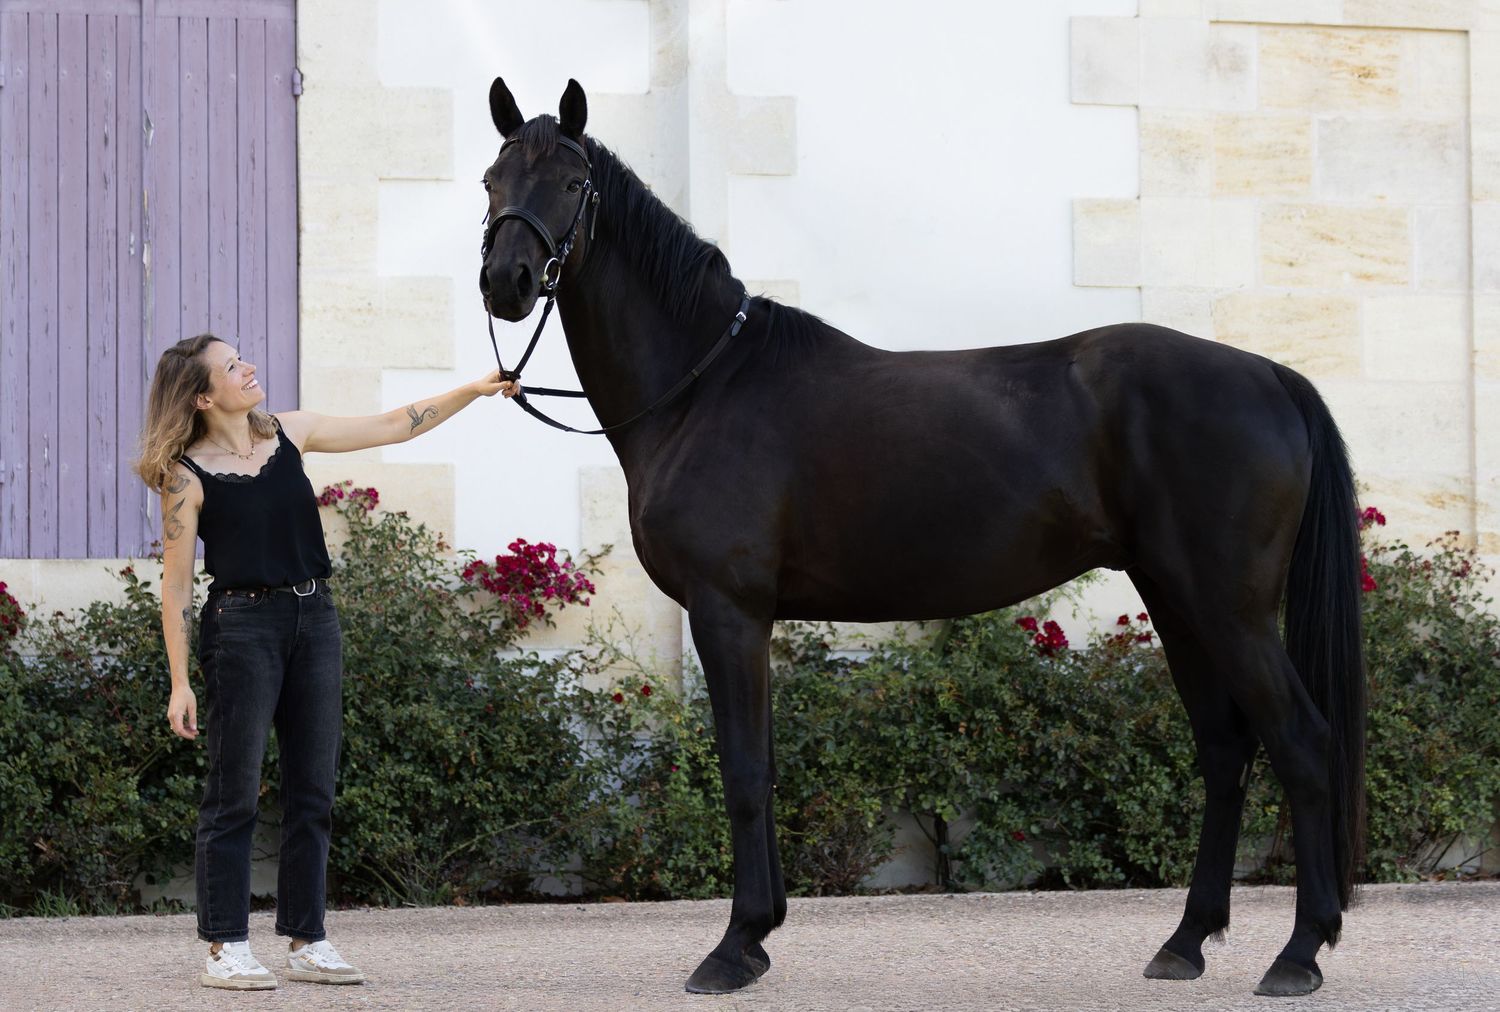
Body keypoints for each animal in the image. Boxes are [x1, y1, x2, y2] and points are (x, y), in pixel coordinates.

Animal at [476, 78, 1366, 998]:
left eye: (572, 184)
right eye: (491, 180)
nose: (506, 281)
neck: (702, 386)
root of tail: (1273, 376)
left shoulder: (727, 612)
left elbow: (744, 774)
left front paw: (734, 945)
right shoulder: (743, 619)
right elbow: (762, 767)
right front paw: (760, 935)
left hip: (1229, 608)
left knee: (1303, 744)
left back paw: (1299, 951)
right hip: (1178, 599)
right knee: (1226, 751)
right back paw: (1186, 941)